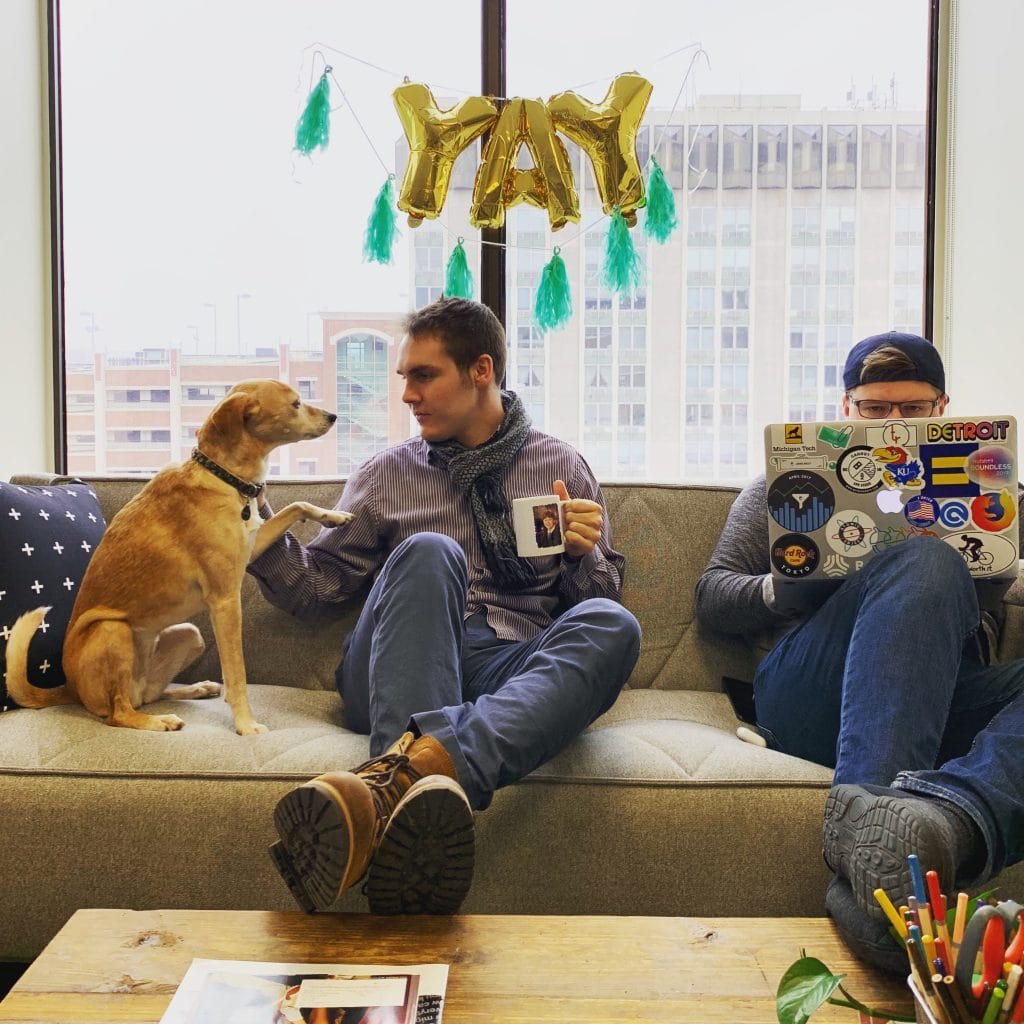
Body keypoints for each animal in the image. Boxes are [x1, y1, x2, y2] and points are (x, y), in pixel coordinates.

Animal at [3, 380, 352, 733]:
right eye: (295, 404)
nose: (334, 416)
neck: (222, 475)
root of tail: (69, 689)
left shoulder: (254, 546)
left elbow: (296, 505)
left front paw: (334, 517)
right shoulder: (225, 600)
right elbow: (236, 673)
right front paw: (245, 725)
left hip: (188, 635)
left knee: (149, 694)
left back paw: (196, 689)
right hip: (112, 631)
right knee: (119, 713)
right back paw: (159, 722)